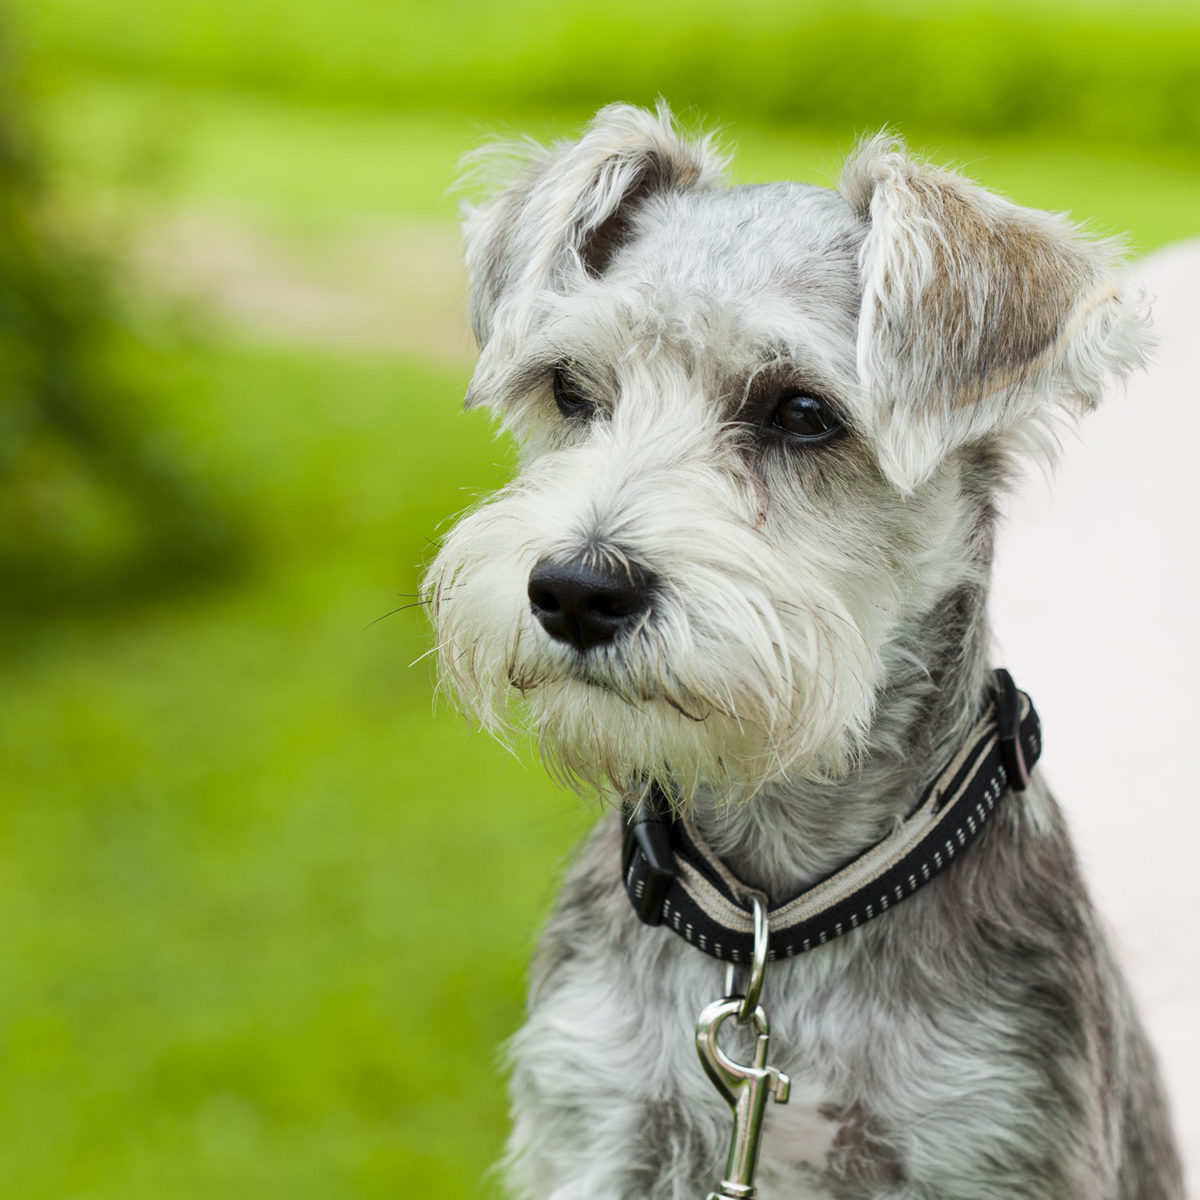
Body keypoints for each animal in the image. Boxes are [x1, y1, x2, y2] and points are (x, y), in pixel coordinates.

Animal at [427, 105, 1185, 1200]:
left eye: (800, 412)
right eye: (570, 389)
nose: (575, 589)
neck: (774, 923)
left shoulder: (993, 1140)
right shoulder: (599, 1123)